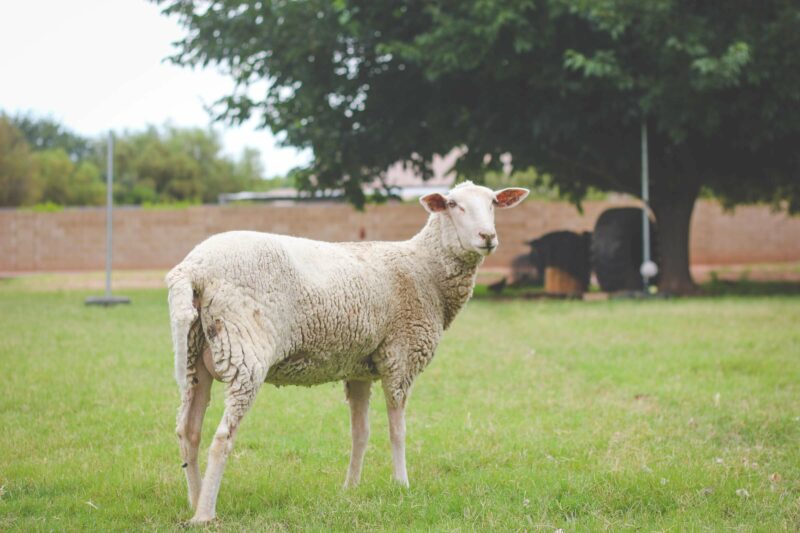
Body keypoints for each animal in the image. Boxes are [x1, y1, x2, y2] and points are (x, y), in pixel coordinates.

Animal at [167, 181, 532, 520]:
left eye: (493, 202)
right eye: (453, 204)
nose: (487, 236)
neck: (426, 269)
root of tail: (194, 268)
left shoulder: (359, 368)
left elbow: (360, 432)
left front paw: (351, 488)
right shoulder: (400, 356)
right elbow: (397, 430)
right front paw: (402, 484)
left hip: (194, 354)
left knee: (189, 432)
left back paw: (194, 499)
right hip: (245, 350)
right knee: (221, 438)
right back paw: (205, 514)